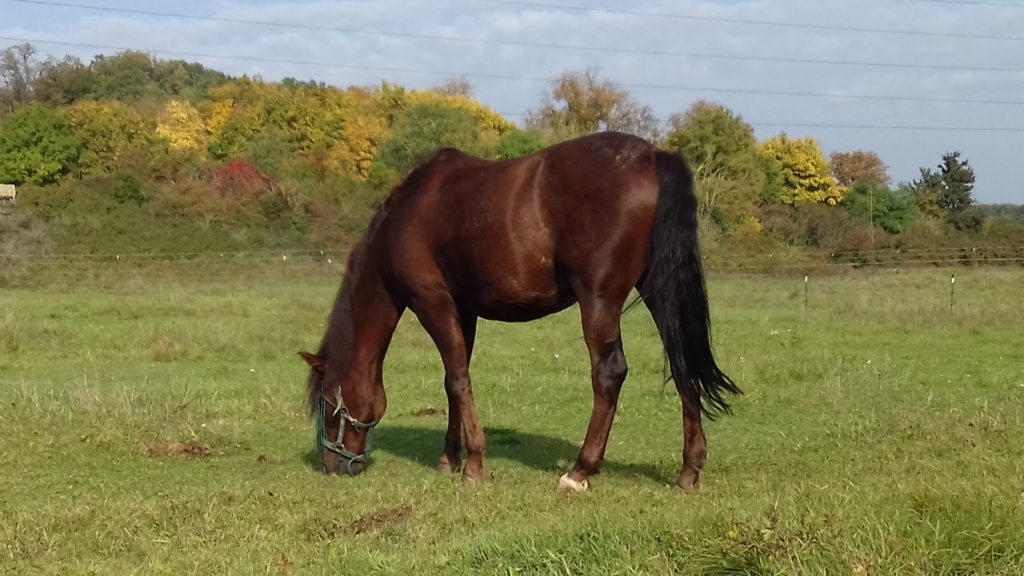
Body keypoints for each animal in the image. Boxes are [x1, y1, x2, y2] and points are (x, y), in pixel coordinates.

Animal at [299, 131, 741, 494]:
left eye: (327, 403)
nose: (332, 465)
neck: (405, 215)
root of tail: (652, 156)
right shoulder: (464, 310)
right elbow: (453, 381)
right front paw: (450, 457)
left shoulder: (433, 303)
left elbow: (458, 379)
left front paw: (474, 465)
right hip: (658, 290)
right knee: (683, 364)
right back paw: (689, 471)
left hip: (598, 300)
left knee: (609, 373)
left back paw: (579, 471)